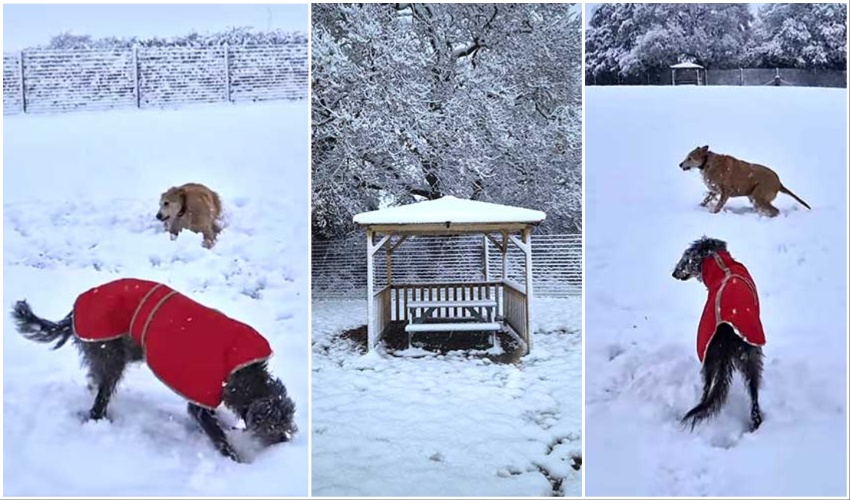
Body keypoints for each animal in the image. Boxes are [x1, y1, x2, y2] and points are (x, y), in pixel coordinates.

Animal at [11, 292, 296, 462]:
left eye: (289, 423)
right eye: (273, 426)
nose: (285, 443)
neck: (245, 376)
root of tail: (75, 307)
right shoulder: (201, 399)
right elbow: (216, 434)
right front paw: (236, 460)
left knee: (95, 377)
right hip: (111, 354)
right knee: (100, 399)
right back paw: (99, 418)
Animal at [672, 236, 764, 432]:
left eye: (686, 258)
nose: (674, 273)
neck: (722, 266)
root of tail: (725, 334)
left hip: (712, 356)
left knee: (708, 389)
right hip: (749, 354)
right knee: (753, 393)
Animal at [676, 144, 808, 216]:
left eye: (690, 158)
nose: (680, 164)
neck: (707, 162)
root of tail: (779, 182)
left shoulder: (725, 192)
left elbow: (718, 206)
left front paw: (713, 214)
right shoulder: (714, 190)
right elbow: (706, 199)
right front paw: (700, 207)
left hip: (758, 197)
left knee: (775, 211)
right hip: (755, 198)